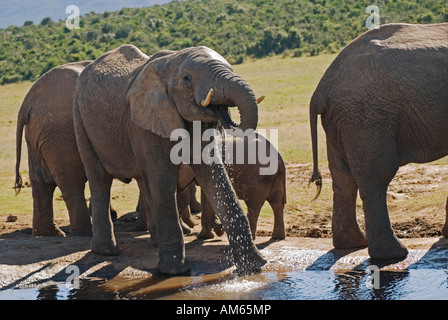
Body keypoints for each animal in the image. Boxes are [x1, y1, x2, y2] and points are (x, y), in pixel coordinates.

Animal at [73, 45, 266, 276]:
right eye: (187, 78)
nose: (227, 118)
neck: (172, 61)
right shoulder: (143, 123)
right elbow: (163, 179)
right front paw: (175, 271)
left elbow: (213, 175)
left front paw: (254, 266)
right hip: (80, 119)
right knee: (100, 180)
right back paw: (107, 252)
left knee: (143, 182)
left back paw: (154, 243)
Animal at [310, 23, 448, 262]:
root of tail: (322, 89)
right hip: (367, 115)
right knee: (377, 175)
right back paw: (393, 255)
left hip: (343, 119)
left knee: (343, 177)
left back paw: (352, 244)